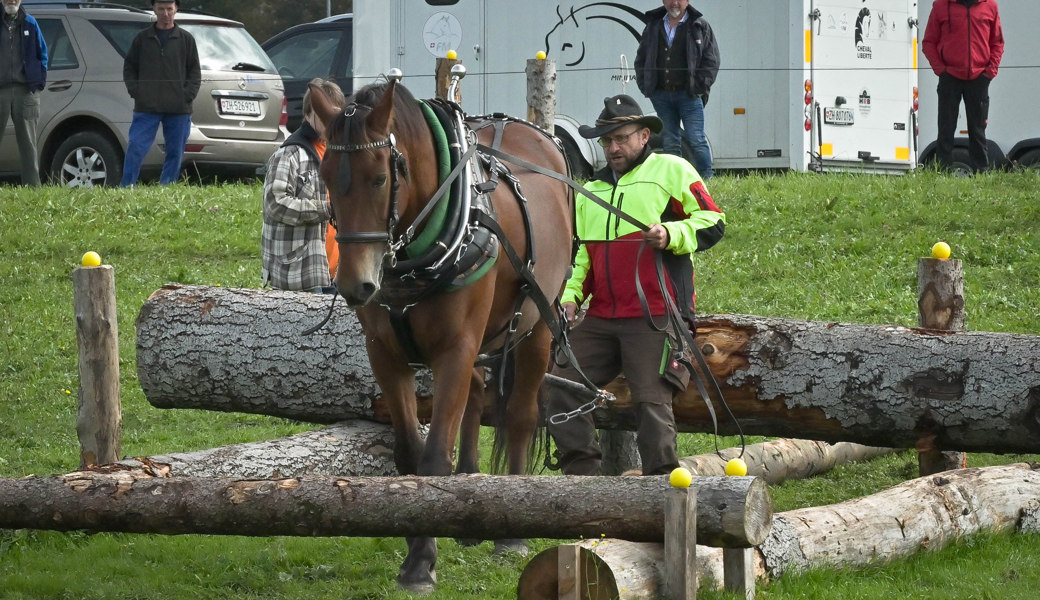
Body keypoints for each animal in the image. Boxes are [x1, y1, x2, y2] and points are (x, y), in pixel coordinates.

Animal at [307, 82, 574, 590]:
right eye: (326, 176)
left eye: (380, 178)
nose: (355, 285)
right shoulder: (385, 354)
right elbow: (410, 453)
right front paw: (418, 546)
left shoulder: (455, 349)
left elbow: (433, 456)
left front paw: (421, 565)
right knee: (475, 396)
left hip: (535, 325)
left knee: (520, 415)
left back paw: (511, 535)